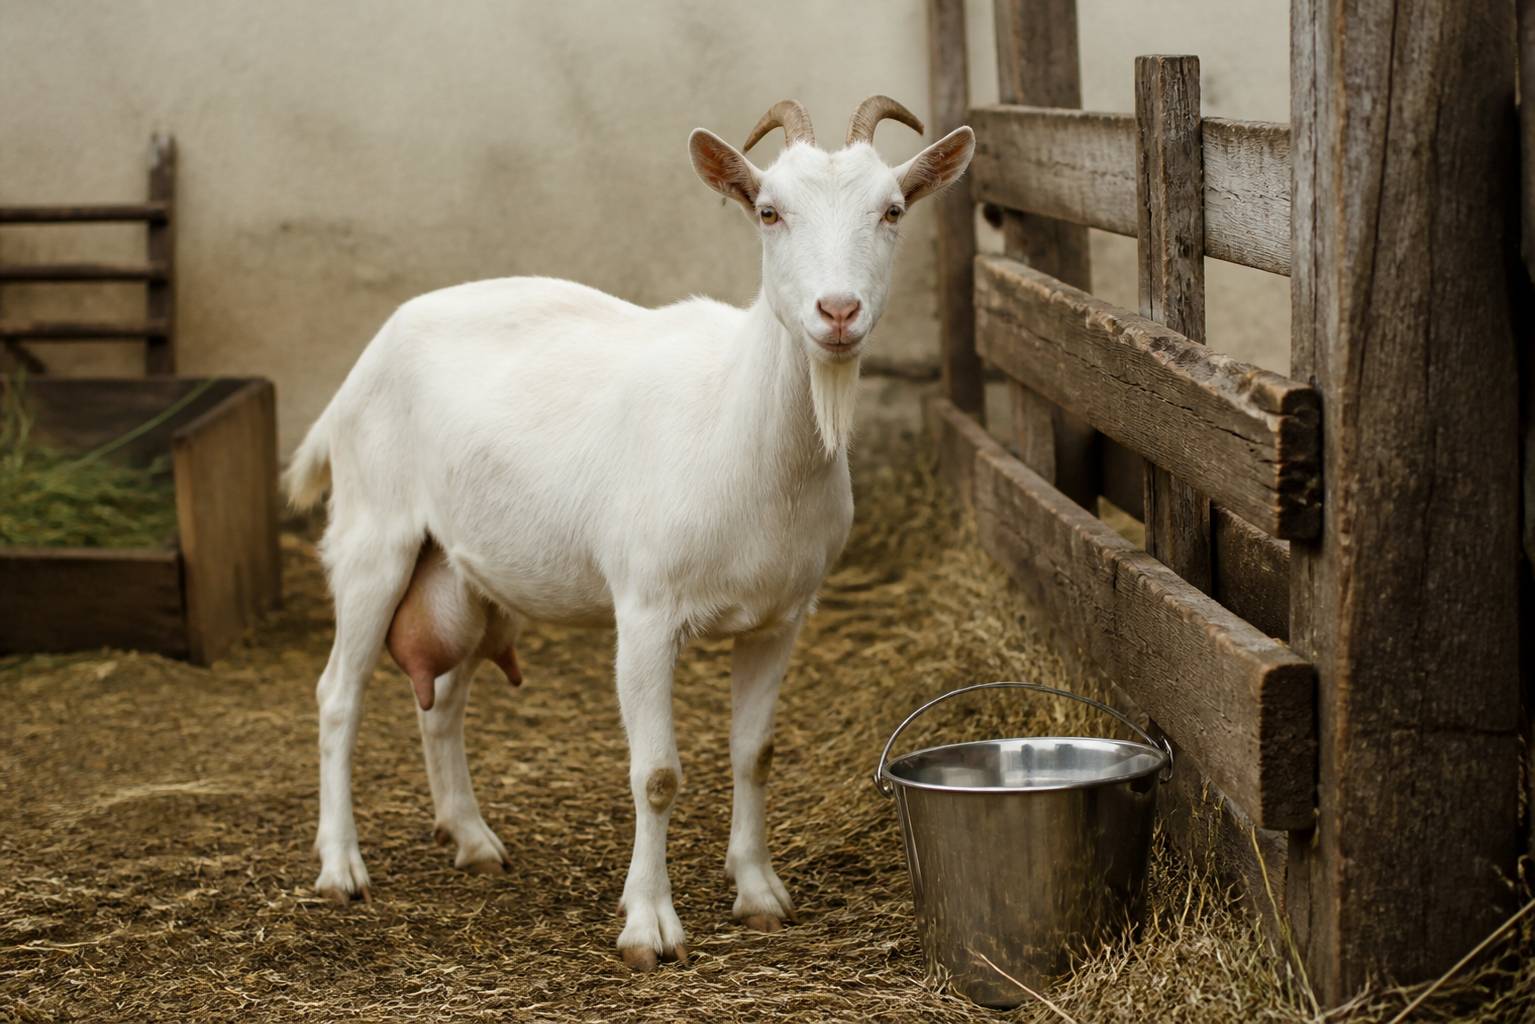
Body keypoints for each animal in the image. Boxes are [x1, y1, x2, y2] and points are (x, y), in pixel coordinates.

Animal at [285, 96, 974, 970]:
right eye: (768, 211)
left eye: (892, 211)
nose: (838, 312)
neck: (737, 423)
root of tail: (366, 361)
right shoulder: (646, 610)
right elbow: (656, 774)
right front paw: (648, 926)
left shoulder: (780, 618)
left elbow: (754, 753)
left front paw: (759, 893)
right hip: (375, 535)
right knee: (337, 694)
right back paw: (341, 867)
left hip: (462, 573)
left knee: (441, 703)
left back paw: (473, 840)